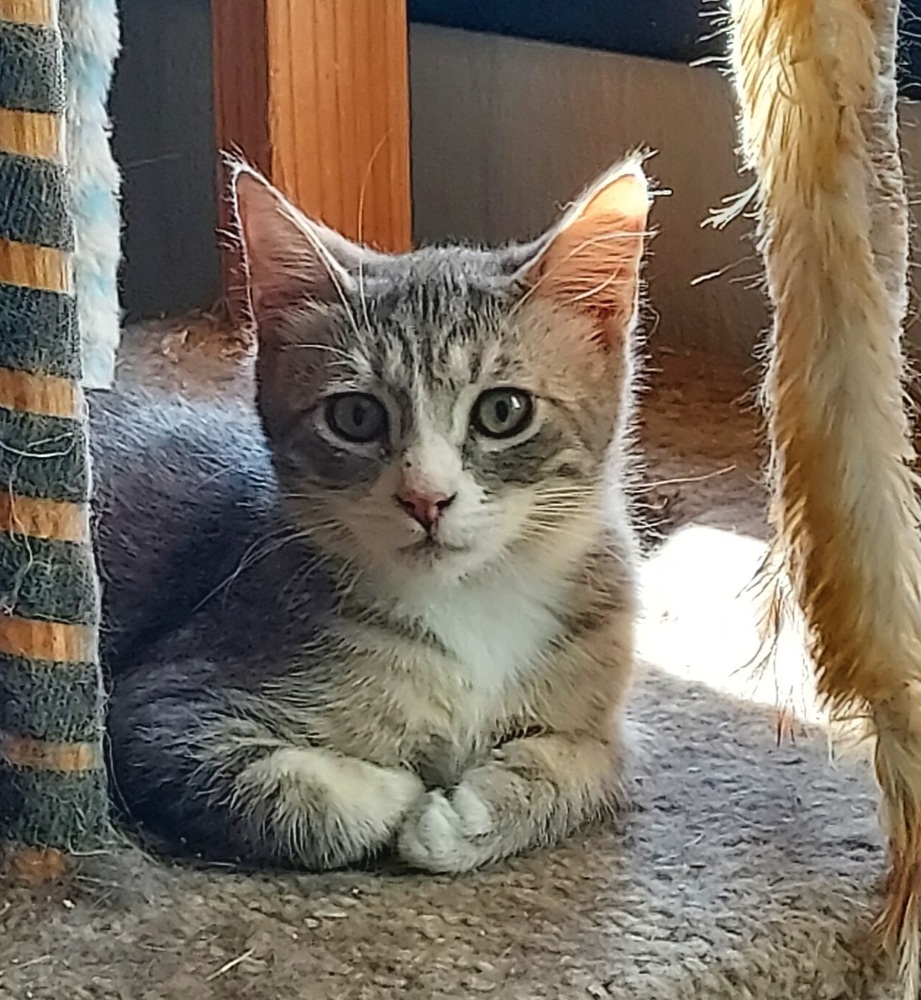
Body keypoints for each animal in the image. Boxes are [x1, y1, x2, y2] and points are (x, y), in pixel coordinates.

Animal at [95, 160, 648, 872]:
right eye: (356, 416)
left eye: (504, 411)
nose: (426, 498)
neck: (472, 606)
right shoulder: (160, 704)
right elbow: (287, 794)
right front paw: (397, 790)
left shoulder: (603, 719)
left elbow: (584, 766)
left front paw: (466, 817)